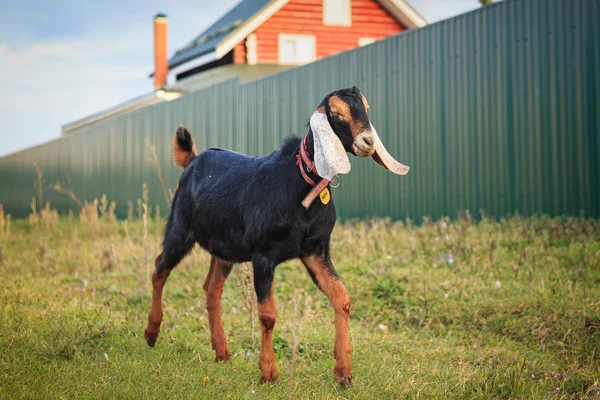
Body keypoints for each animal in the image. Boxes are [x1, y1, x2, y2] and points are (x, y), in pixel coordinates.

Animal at [143, 86, 410, 386]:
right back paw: (151, 333)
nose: (367, 142)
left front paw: (343, 372)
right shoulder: (263, 256)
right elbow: (268, 314)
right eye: (336, 113)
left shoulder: (315, 252)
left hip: (224, 246)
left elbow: (342, 298)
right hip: (180, 228)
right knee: (159, 269)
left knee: (211, 288)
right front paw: (269, 371)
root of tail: (191, 159)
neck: (303, 181)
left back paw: (222, 351)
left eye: (366, 108)